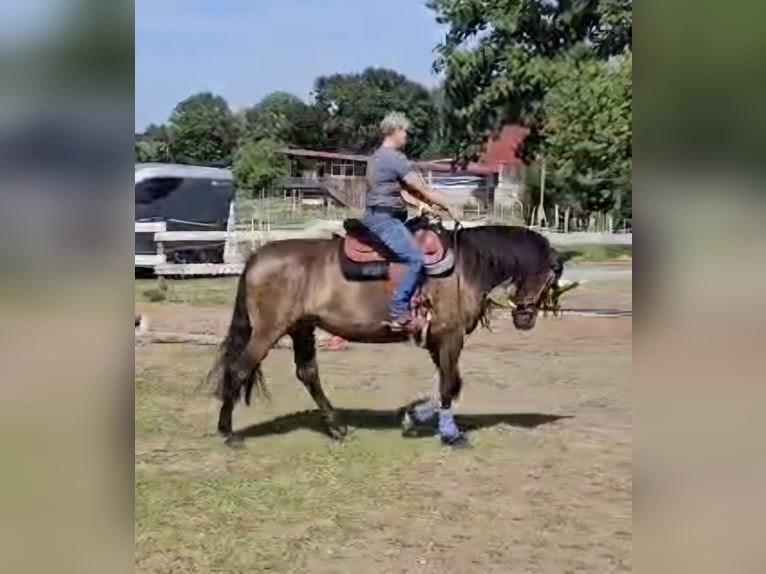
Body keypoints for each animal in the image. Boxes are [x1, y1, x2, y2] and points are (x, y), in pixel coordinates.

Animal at [207, 216, 568, 450]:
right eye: (552, 273)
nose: (525, 318)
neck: (465, 266)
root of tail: (257, 257)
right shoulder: (451, 336)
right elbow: (450, 385)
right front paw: (449, 434)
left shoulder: (436, 339)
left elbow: (448, 383)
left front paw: (415, 417)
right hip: (269, 330)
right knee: (239, 369)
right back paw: (228, 433)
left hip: (302, 328)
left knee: (307, 374)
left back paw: (337, 428)